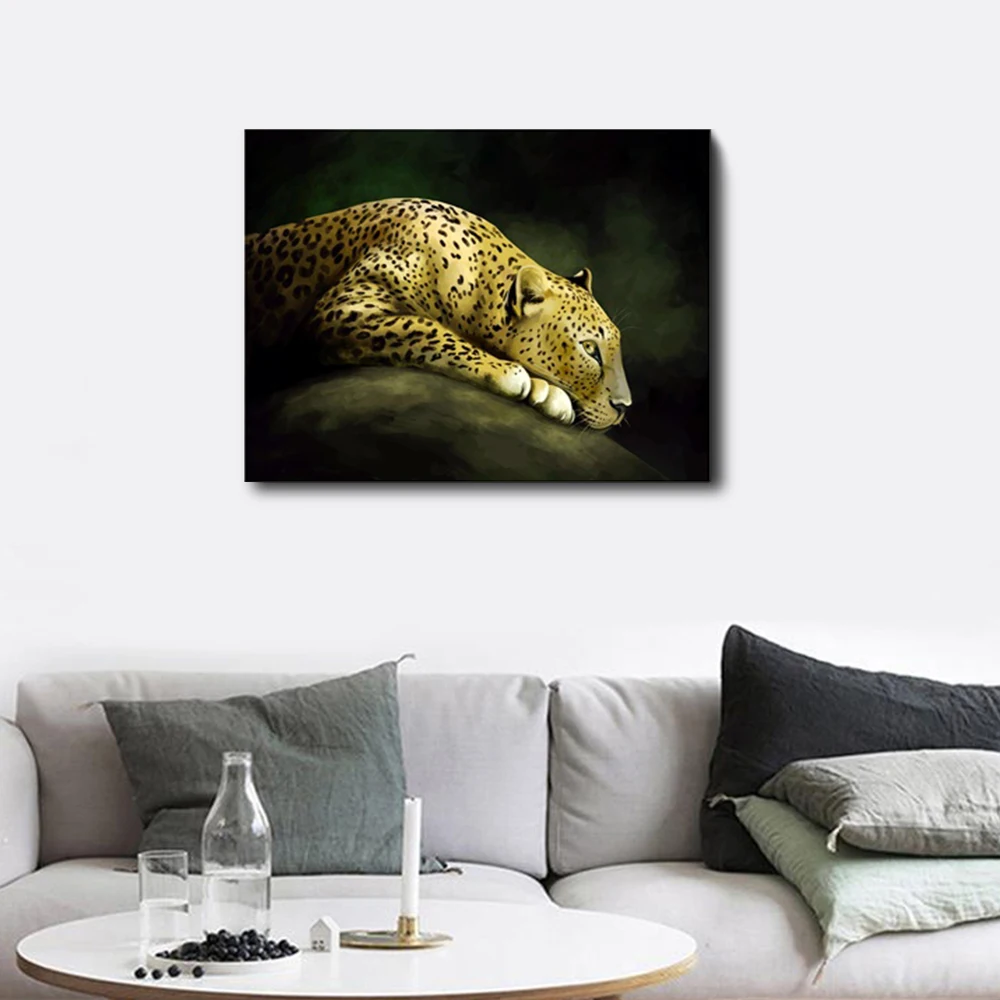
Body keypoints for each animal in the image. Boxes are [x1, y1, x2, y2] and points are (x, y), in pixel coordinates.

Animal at [245, 198, 632, 429]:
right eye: (590, 349)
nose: (625, 405)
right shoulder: (345, 307)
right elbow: (425, 328)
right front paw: (509, 373)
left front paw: (546, 391)